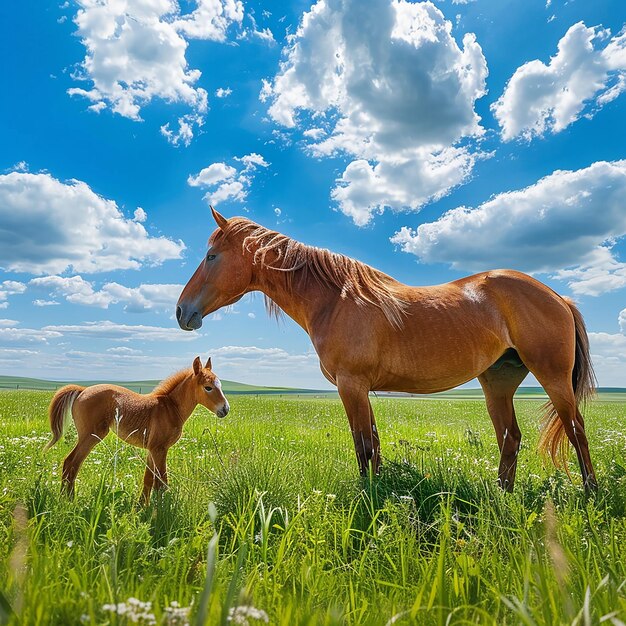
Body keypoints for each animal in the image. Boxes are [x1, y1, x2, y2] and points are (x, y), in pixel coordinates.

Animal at [44, 356, 229, 502]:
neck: (170, 408)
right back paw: (69, 501)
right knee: (72, 463)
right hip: (91, 435)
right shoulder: (159, 449)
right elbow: (161, 483)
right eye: (208, 387)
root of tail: (82, 390)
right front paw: (160, 514)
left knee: (70, 464)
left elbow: (148, 480)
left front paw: (141, 508)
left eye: (220, 385)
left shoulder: (152, 450)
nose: (225, 409)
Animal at [176, 207, 596, 490]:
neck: (334, 300)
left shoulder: (351, 385)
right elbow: (373, 445)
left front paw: (369, 498)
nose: (182, 311)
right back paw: (500, 495)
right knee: (510, 438)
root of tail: (558, 297)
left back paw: (589, 493)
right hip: (498, 382)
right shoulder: (360, 389)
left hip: (552, 377)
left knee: (576, 431)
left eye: (211, 256)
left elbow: (363, 446)